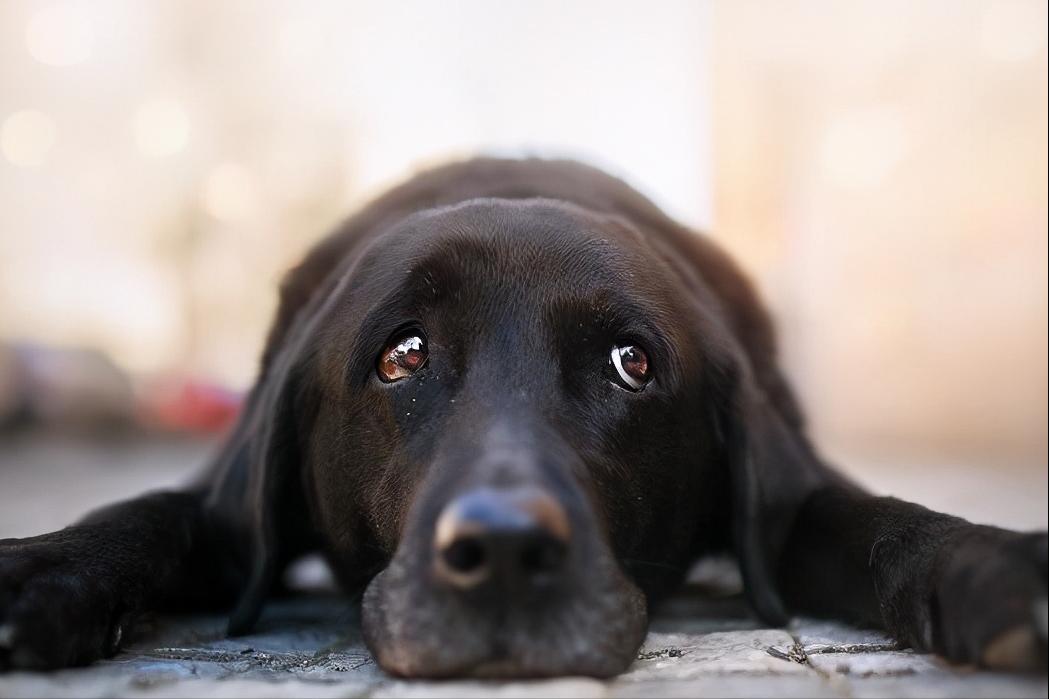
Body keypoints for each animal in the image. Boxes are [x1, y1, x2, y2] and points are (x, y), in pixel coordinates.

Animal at [2, 159, 1049, 675]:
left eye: (632, 363)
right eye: (402, 355)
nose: (503, 551)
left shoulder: (794, 508)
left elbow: (879, 522)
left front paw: (994, 565)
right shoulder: (222, 510)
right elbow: (147, 514)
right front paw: (41, 571)